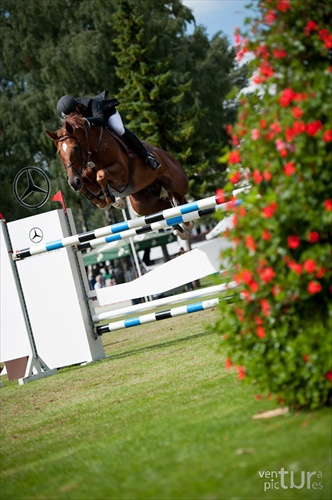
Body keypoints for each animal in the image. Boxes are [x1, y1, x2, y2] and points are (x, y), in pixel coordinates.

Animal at [45, 114, 193, 238]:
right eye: (59, 153)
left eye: (75, 148)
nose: (73, 182)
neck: (95, 148)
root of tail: (167, 155)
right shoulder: (88, 180)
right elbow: (87, 186)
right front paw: (101, 202)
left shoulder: (122, 173)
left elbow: (101, 174)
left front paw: (113, 200)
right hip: (142, 203)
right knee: (165, 206)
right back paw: (181, 230)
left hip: (178, 182)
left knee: (179, 196)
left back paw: (187, 221)